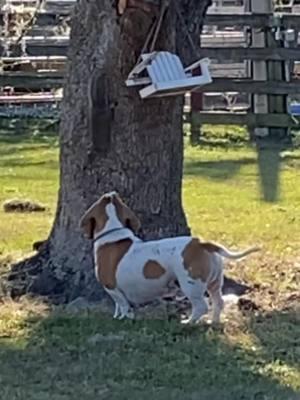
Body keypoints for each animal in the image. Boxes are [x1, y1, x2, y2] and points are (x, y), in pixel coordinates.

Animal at [79, 191, 258, 324]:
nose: (112, 193)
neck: (113, 232)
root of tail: (201, 243)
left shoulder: (112, 288)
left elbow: (123, 305)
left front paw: (124, 318)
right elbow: (118, 306)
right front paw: (117, 317)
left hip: (190, 285)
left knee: (201, 306)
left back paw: (188, 322)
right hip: (214, 283)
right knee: (218, 302)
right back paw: (213, 322)